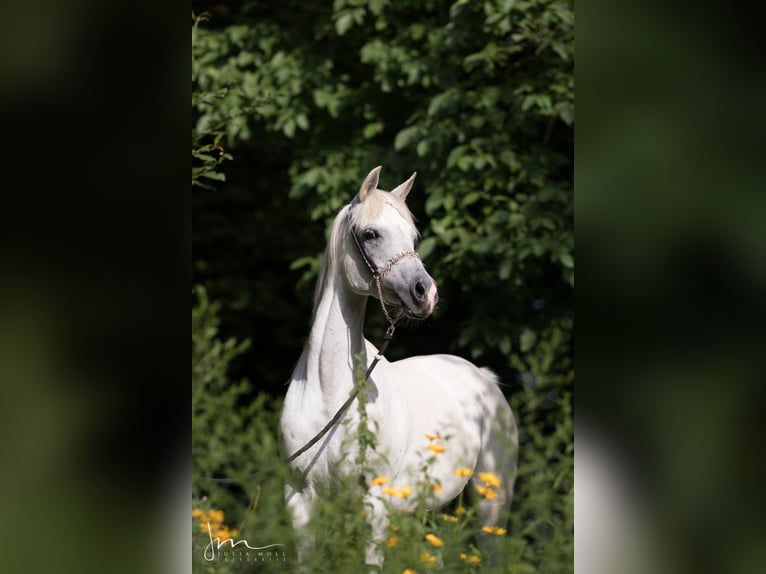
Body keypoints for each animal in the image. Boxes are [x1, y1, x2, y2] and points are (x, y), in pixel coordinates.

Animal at [280, 168, 520, 572]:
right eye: (370, 234)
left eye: (413, 236)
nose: (427, 293)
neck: (332, 394)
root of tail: (484, 378)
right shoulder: (300, 501)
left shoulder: (374, 507)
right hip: (436, 514)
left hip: (491, 504)